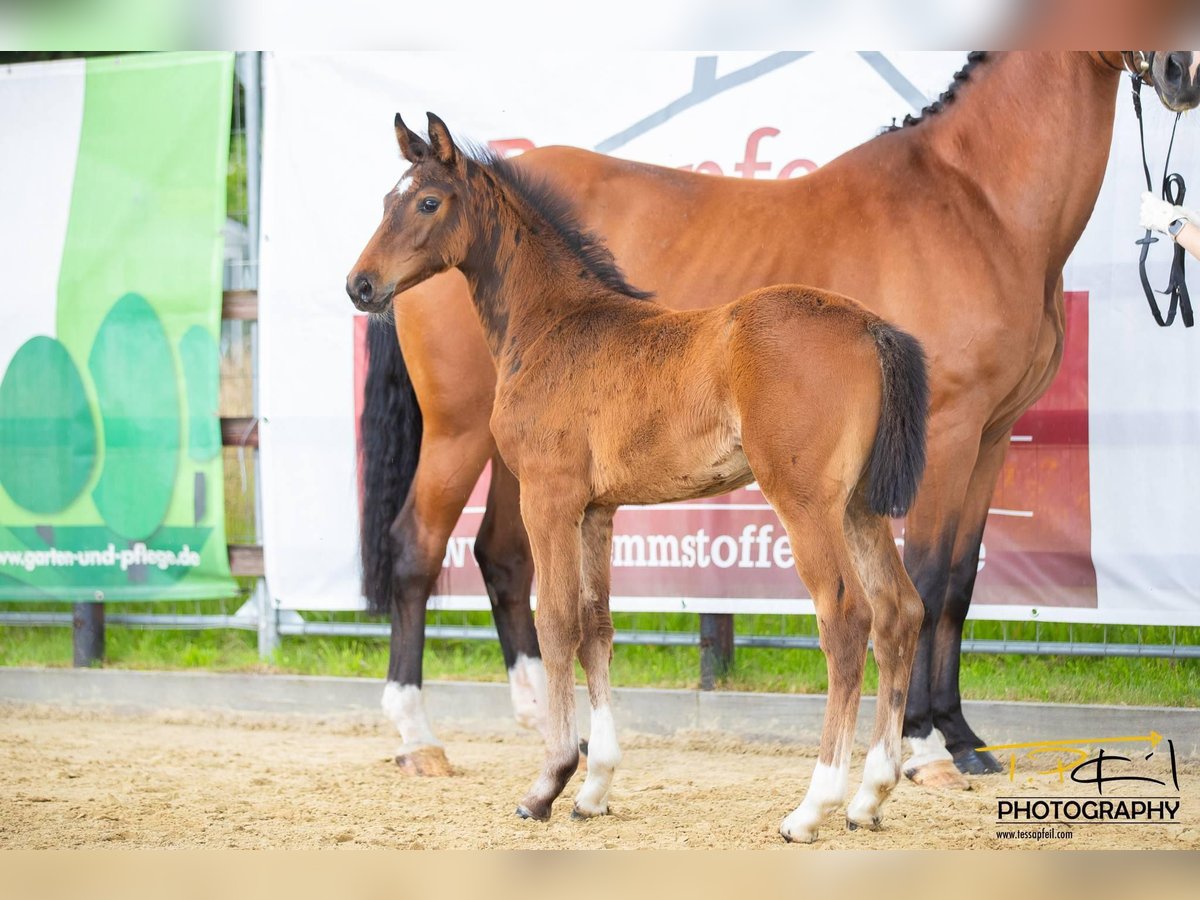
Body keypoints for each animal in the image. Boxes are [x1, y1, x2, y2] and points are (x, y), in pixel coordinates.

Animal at [348, 114, 926, 844]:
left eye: (427, 202)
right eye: (385, 201)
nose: (360, 286)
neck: (553, 323)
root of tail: (871, 325)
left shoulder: (550, 497)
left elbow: (555, 619)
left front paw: (549, 782)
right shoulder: (599, 510)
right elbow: (596, 624)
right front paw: (594, 788)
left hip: (805, 502)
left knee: (847, 618)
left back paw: (812, 806)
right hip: (859, 506)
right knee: (899, 611)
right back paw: (870, 796)